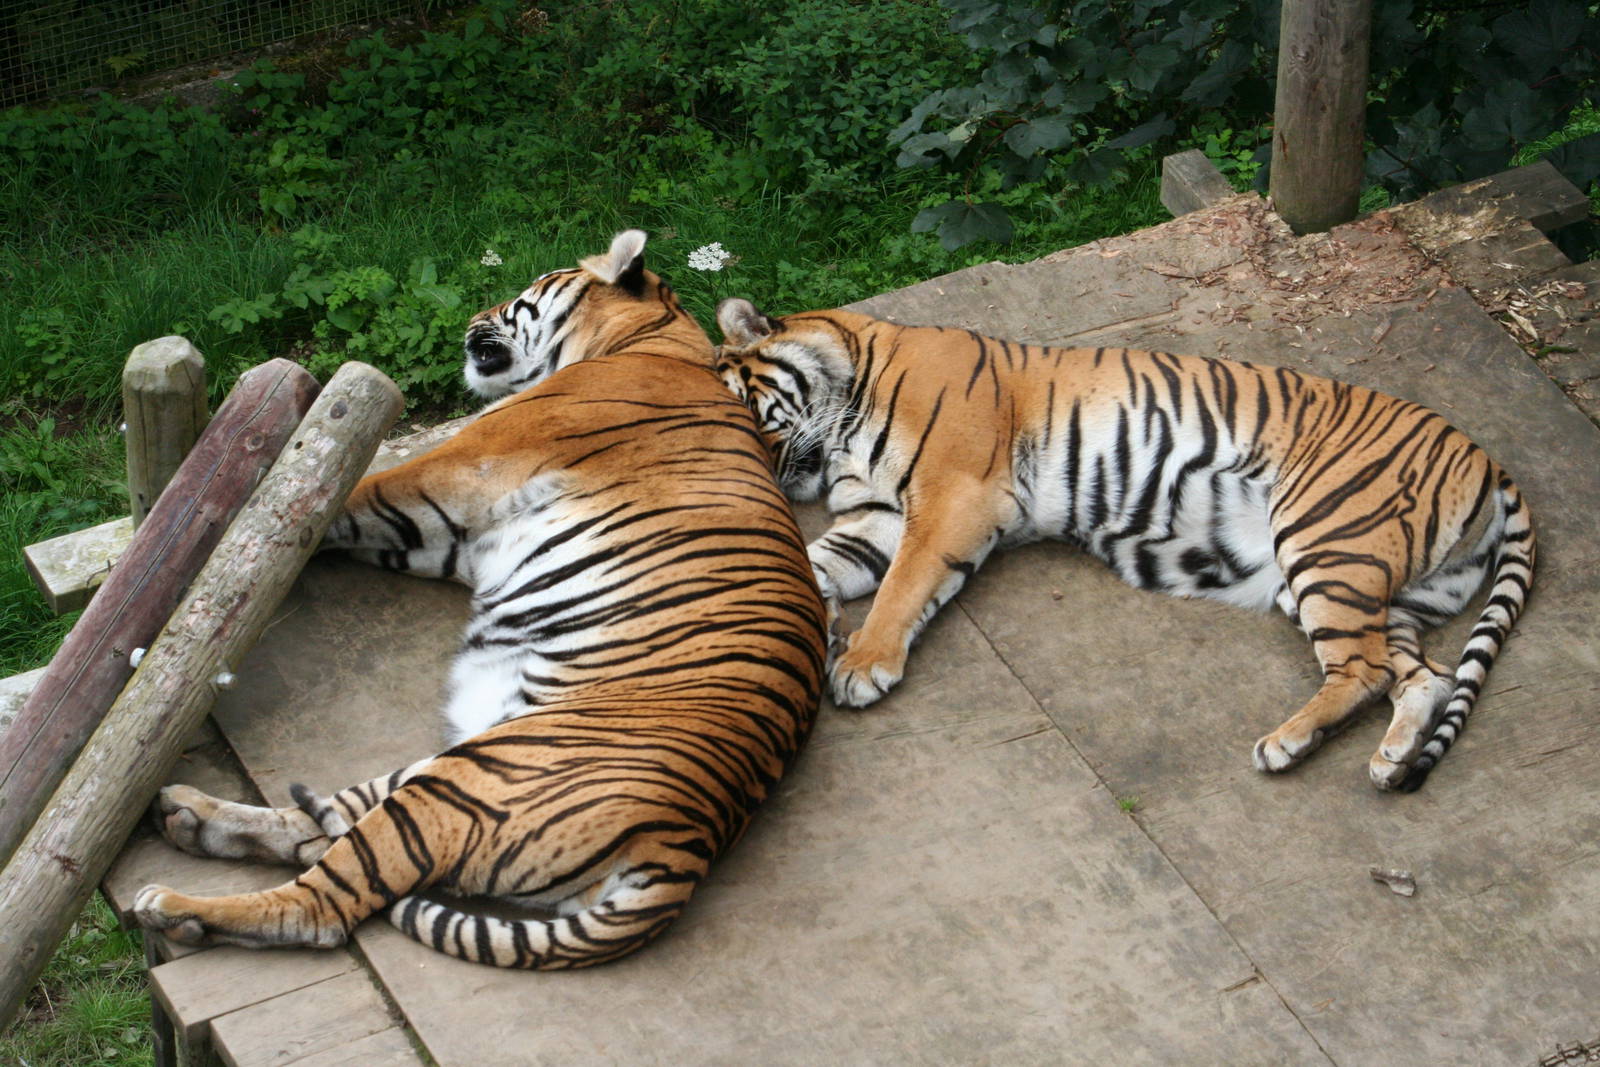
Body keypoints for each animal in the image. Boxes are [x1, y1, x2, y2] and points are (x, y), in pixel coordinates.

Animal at [130, 232, 827, 968]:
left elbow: (336, 499)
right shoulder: (440, 535)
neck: (652, 342)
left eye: (525, 291)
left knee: (325, 903)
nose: (471, 317)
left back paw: (177, 905)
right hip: (448, 764)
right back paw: (187, 816)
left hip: (465, 784)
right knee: (325, 823)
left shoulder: (457, 468)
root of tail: (687, 850)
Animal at [711, 298, 1534, 792]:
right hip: (1371, 589)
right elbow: (819, 565)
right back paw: (1390, 760)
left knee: (1364, 669)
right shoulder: (878, 517)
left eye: (744, 412)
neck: (845, 406)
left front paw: (862, 665)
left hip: (1326, 540)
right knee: (1422, 676)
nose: (764, 480)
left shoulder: (953, 496)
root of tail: (1487, 458)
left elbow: (903, 588)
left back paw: (1284, 745)